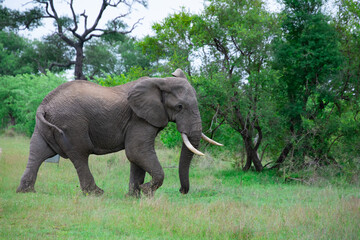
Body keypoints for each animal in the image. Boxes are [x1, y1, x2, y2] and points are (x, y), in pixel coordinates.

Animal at [16, 68, 222, 197]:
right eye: (179, 107)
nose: (181, 191)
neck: (160, 82)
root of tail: (44, 104)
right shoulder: (139, 118)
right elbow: (136, 151)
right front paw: (146, 191)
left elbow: (136, 156)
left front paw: (133, 196)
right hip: (72, 124)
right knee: (80, 155)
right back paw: (97, 194)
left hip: (45, 126)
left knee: (38, 152)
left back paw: (26, 192)